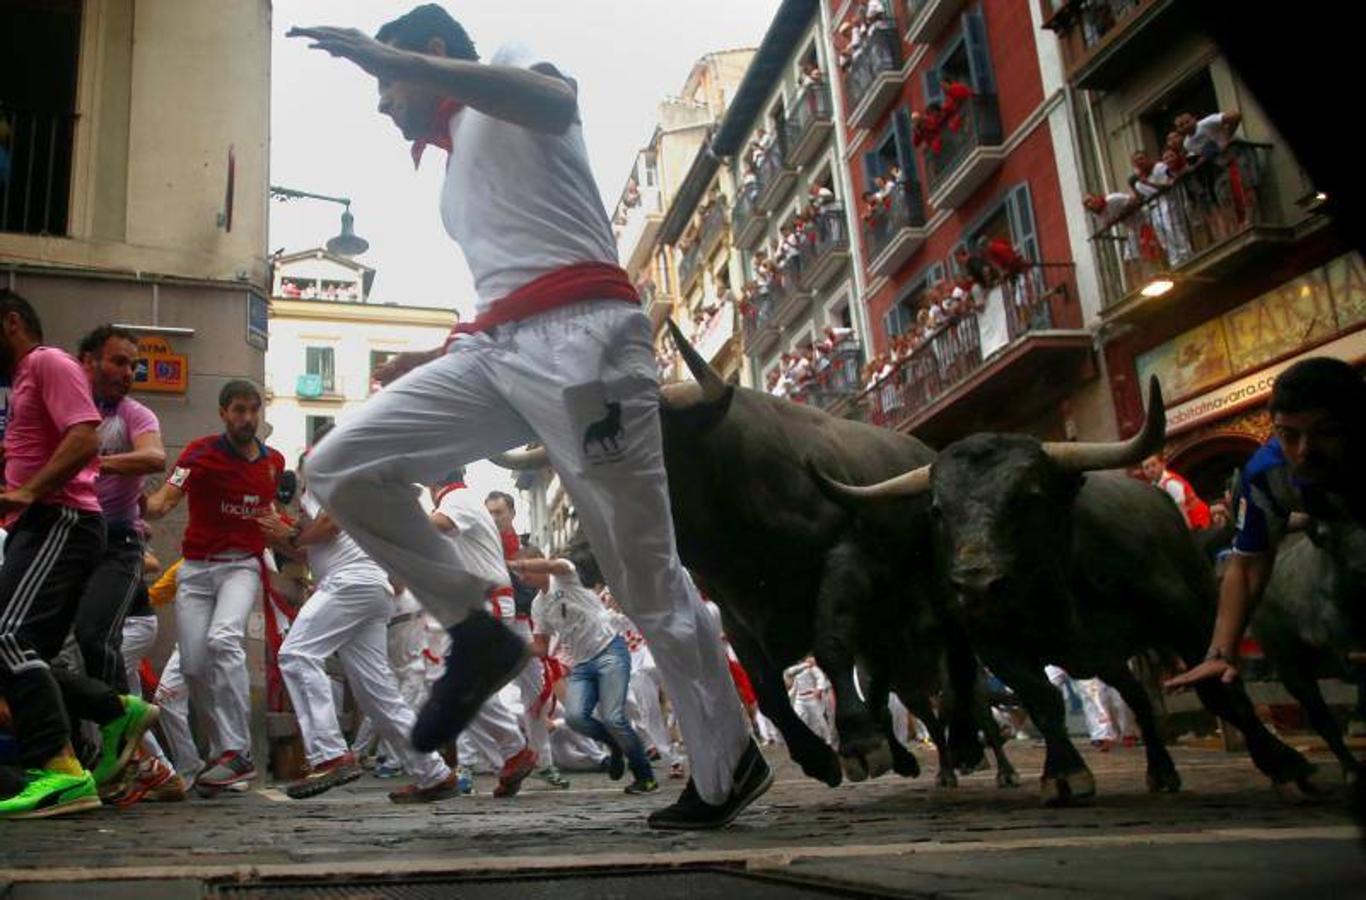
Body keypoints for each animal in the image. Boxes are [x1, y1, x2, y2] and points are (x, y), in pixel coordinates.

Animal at [494, 322, 1016, 786]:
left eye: (649, 449)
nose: (580, 553)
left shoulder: (847, 560)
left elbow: (829, 644)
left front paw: (858, 744)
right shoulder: (732, 610)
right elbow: (766, 688)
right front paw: (817, 758)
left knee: (958, 668)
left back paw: (965, 747)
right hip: (883, 628)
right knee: (887, 681)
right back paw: (909, 754)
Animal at [814, 376, 1316, 808]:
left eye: (1028, 497)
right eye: (938, 509)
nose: (974, 583)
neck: (1054, 590)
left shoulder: (1186, 618)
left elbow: (1220, 689)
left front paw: (1286, 766)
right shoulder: (994, 644)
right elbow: (1041, 699)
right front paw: (1064, 774)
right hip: (1101, 658)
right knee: (1133, 696)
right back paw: (1156, 769)